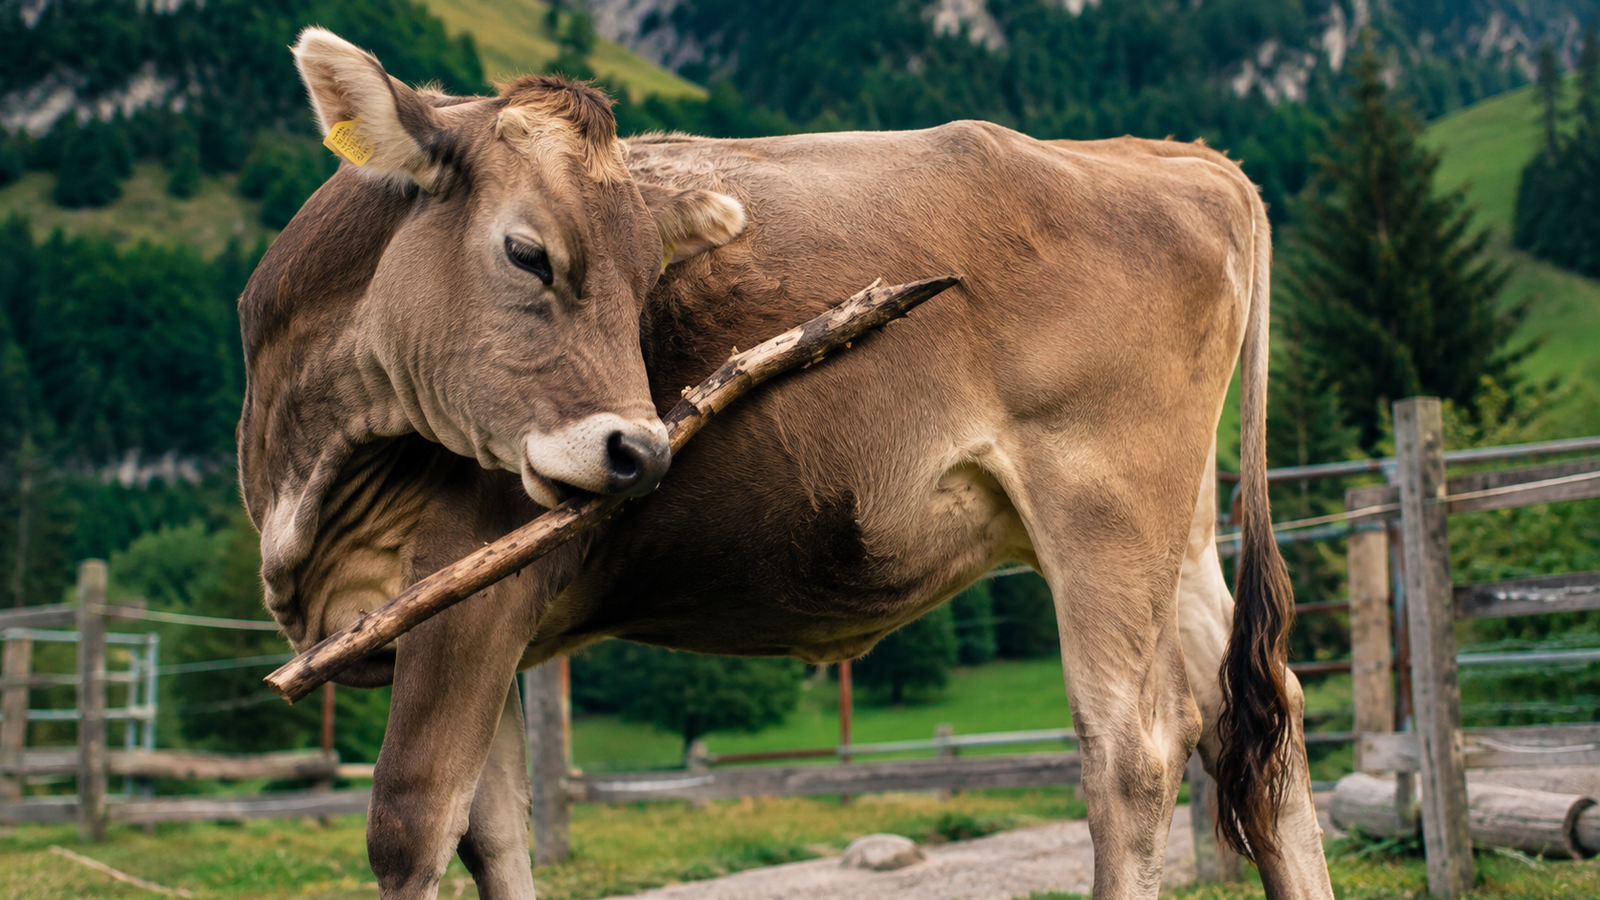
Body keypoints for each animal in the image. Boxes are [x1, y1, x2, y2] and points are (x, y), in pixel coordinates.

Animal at [238, 28, 1333, 900]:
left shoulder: (468, 601)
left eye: (648, 279)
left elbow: (413, 826)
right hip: (1180, 533)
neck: (309, 476)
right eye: (526, 253)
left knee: (1134, 750)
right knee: (1258, 719)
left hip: (1105, 505)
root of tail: (1179, 158)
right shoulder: (486, 630)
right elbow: (496, 838)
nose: (643, 451)